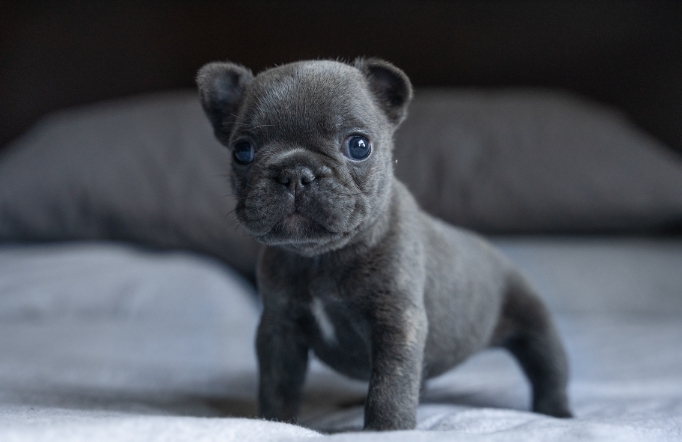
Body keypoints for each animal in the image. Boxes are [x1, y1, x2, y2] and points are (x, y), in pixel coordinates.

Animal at [195, 57, 568, 430]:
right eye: (242, 151)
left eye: (358, 146)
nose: (295, 174)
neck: (321, 257)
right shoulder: (279, 329)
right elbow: (278, 386)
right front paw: (276, 424)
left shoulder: (397, 323)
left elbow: (389, 386)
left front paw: (385, 429)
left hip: (535, 323)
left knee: (548, 369)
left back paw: (558, 412)